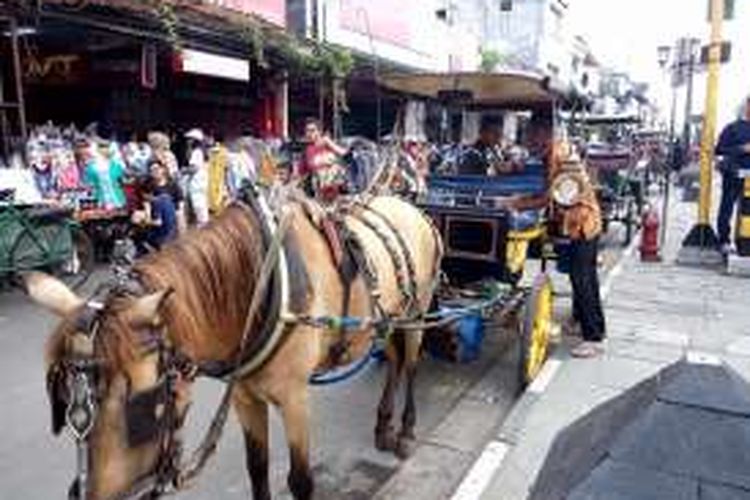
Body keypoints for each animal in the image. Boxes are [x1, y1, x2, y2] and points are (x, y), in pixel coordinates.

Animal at [26, 194, 444, 500]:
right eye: (64, 405)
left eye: (145, 403)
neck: (264, 283)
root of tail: (411, 206)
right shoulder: (245, 395)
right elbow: (257, 470)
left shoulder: (295, 399)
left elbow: (301, 481)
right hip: (390, 319)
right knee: (393, 360)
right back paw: (383, 425)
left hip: (418, 310)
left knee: (410, 363)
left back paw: (406, 430)